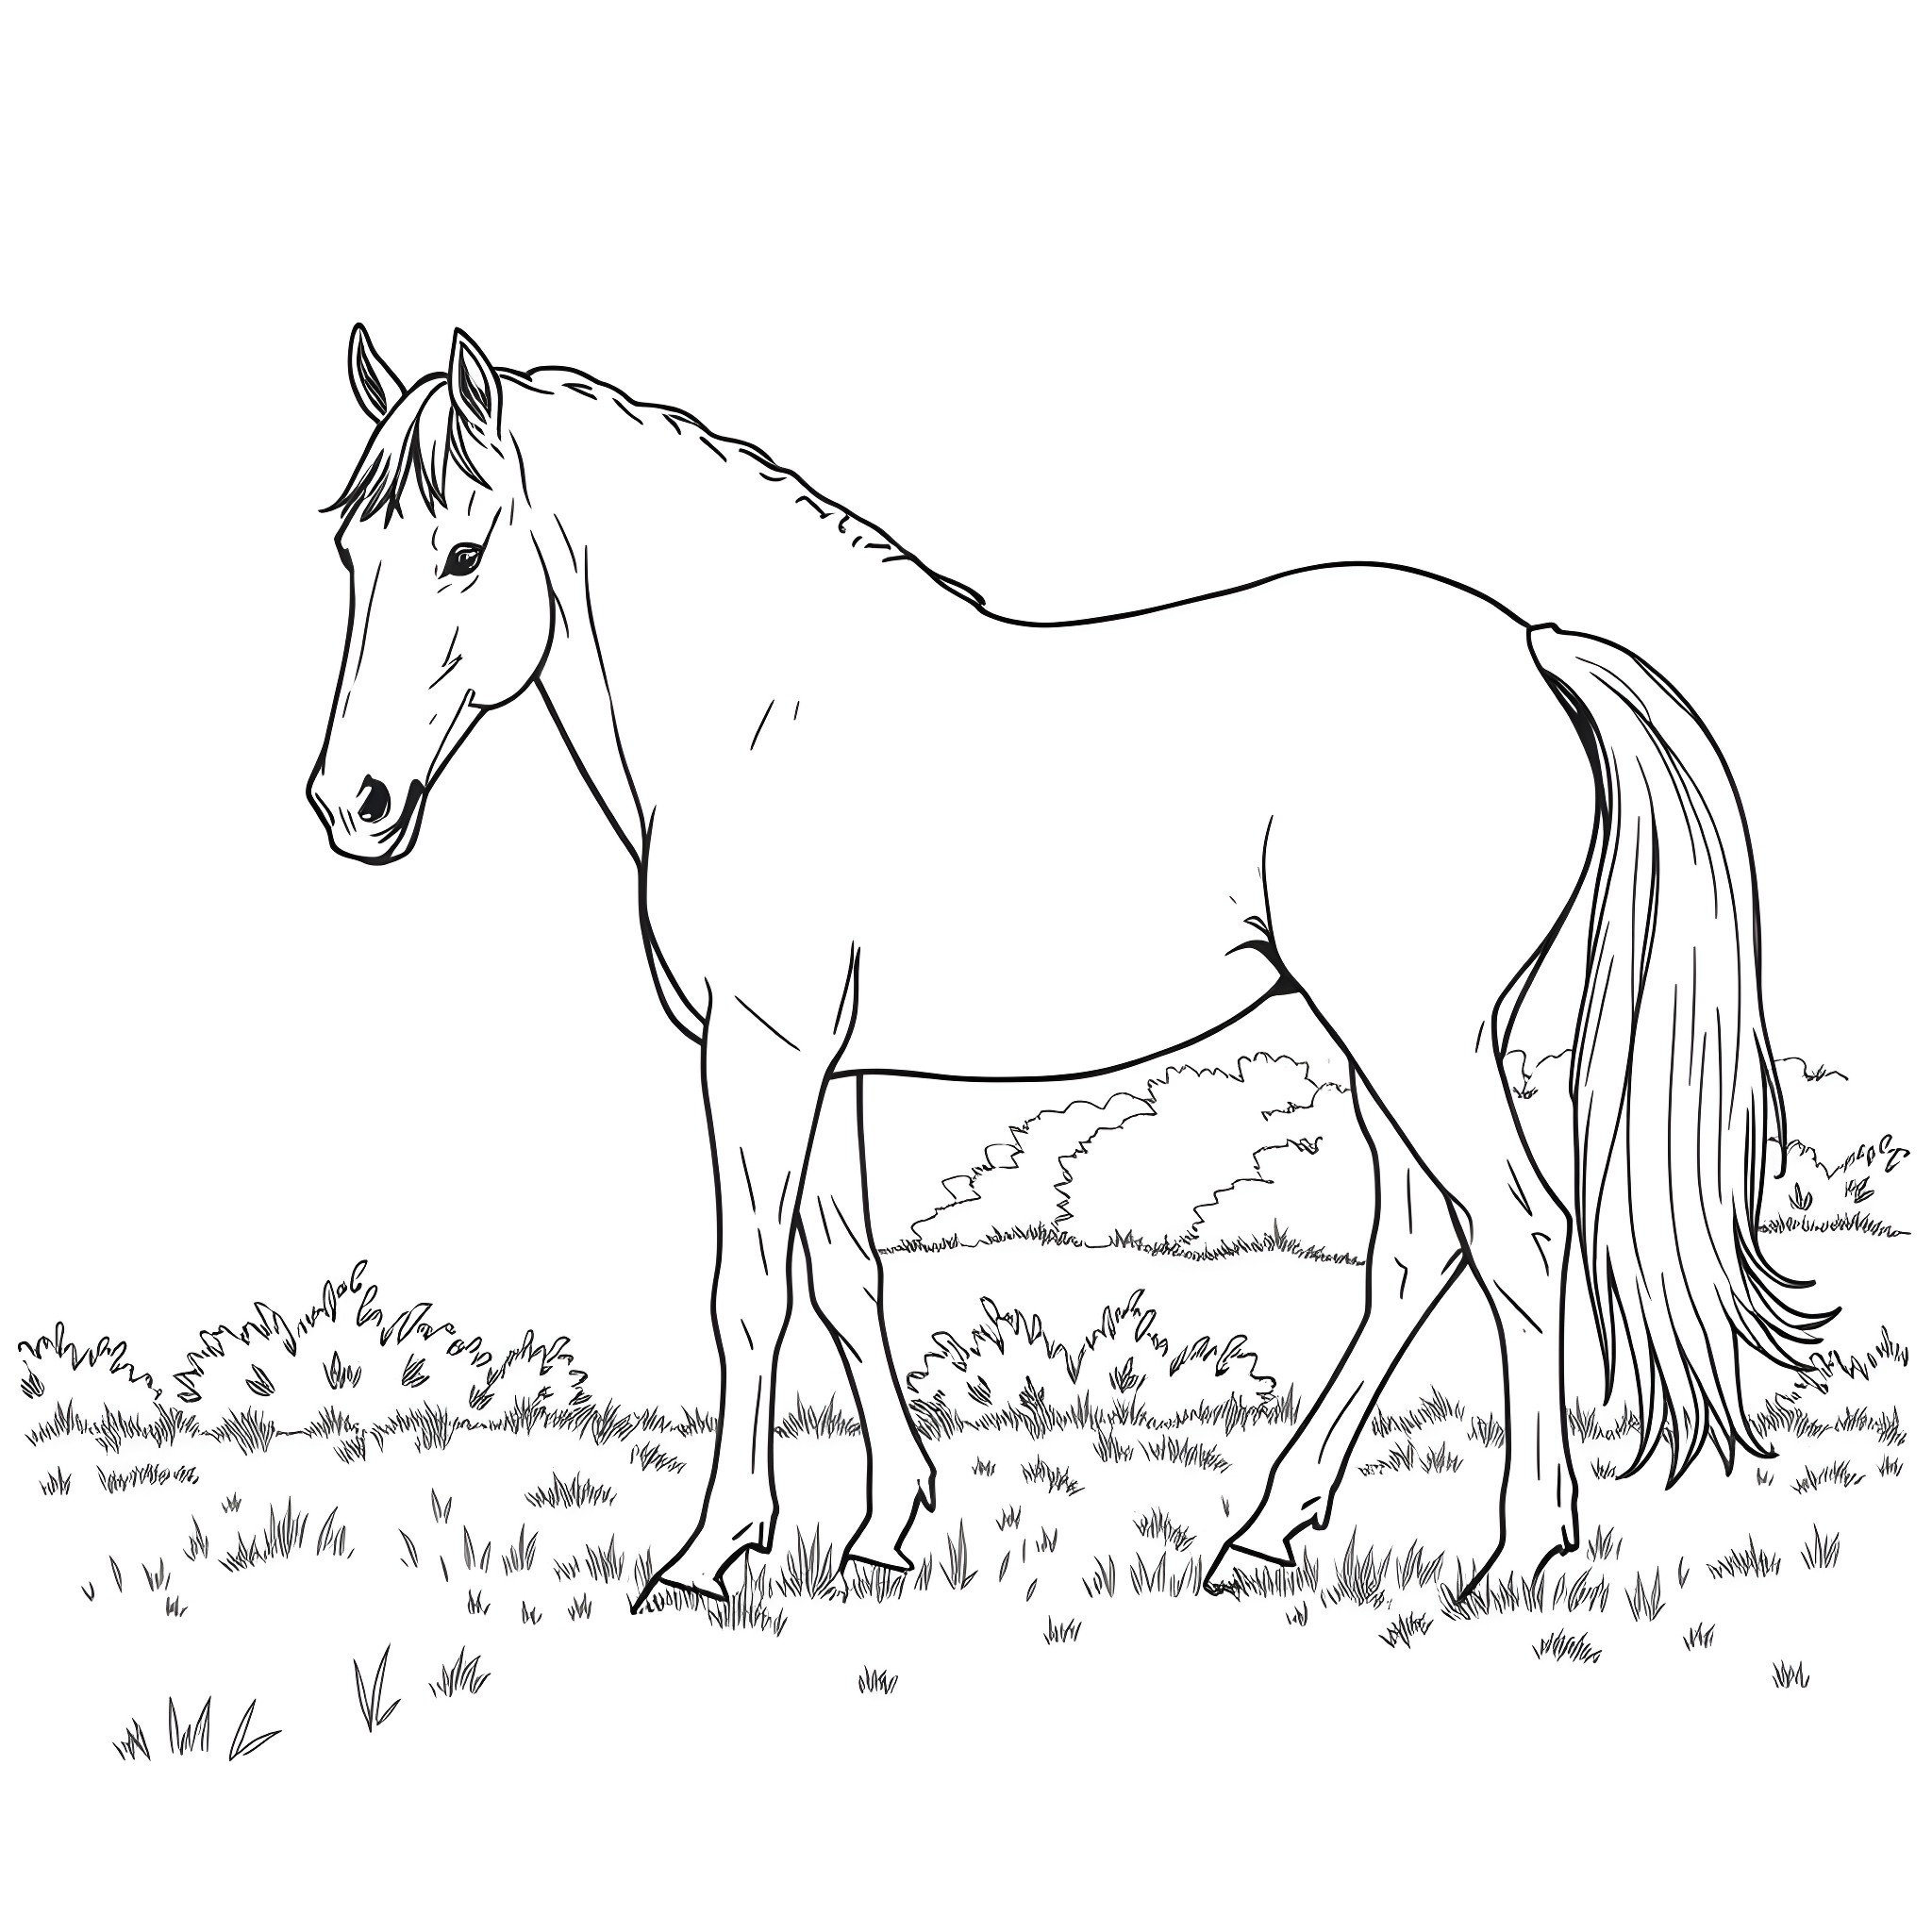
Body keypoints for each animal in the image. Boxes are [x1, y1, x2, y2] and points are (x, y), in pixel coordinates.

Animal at [309, 325, 1826, 1604]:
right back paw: (1266, 1529)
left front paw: (707, 1552)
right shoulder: (827, 1064)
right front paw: (884, 1530)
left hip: (1413, 1035)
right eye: (349, 551)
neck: (763, 714)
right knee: (1412, 1251)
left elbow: (748, 1294)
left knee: (1517, 1235)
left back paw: (1514, 1553)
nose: (352, 804)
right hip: (1385, 1043)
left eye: (462, 553)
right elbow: (847, 1279)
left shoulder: (760, 1048)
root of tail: (1525, 646)